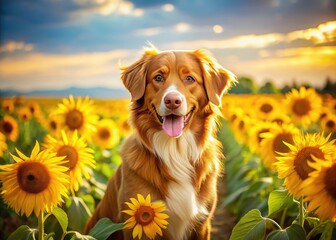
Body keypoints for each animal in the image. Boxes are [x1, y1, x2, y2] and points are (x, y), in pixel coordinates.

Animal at [84, 46, 236, 239]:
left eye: (189, 78)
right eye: (158, 77)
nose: (172, 101)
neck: (175, 150)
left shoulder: (202, 224)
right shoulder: (137, 223)